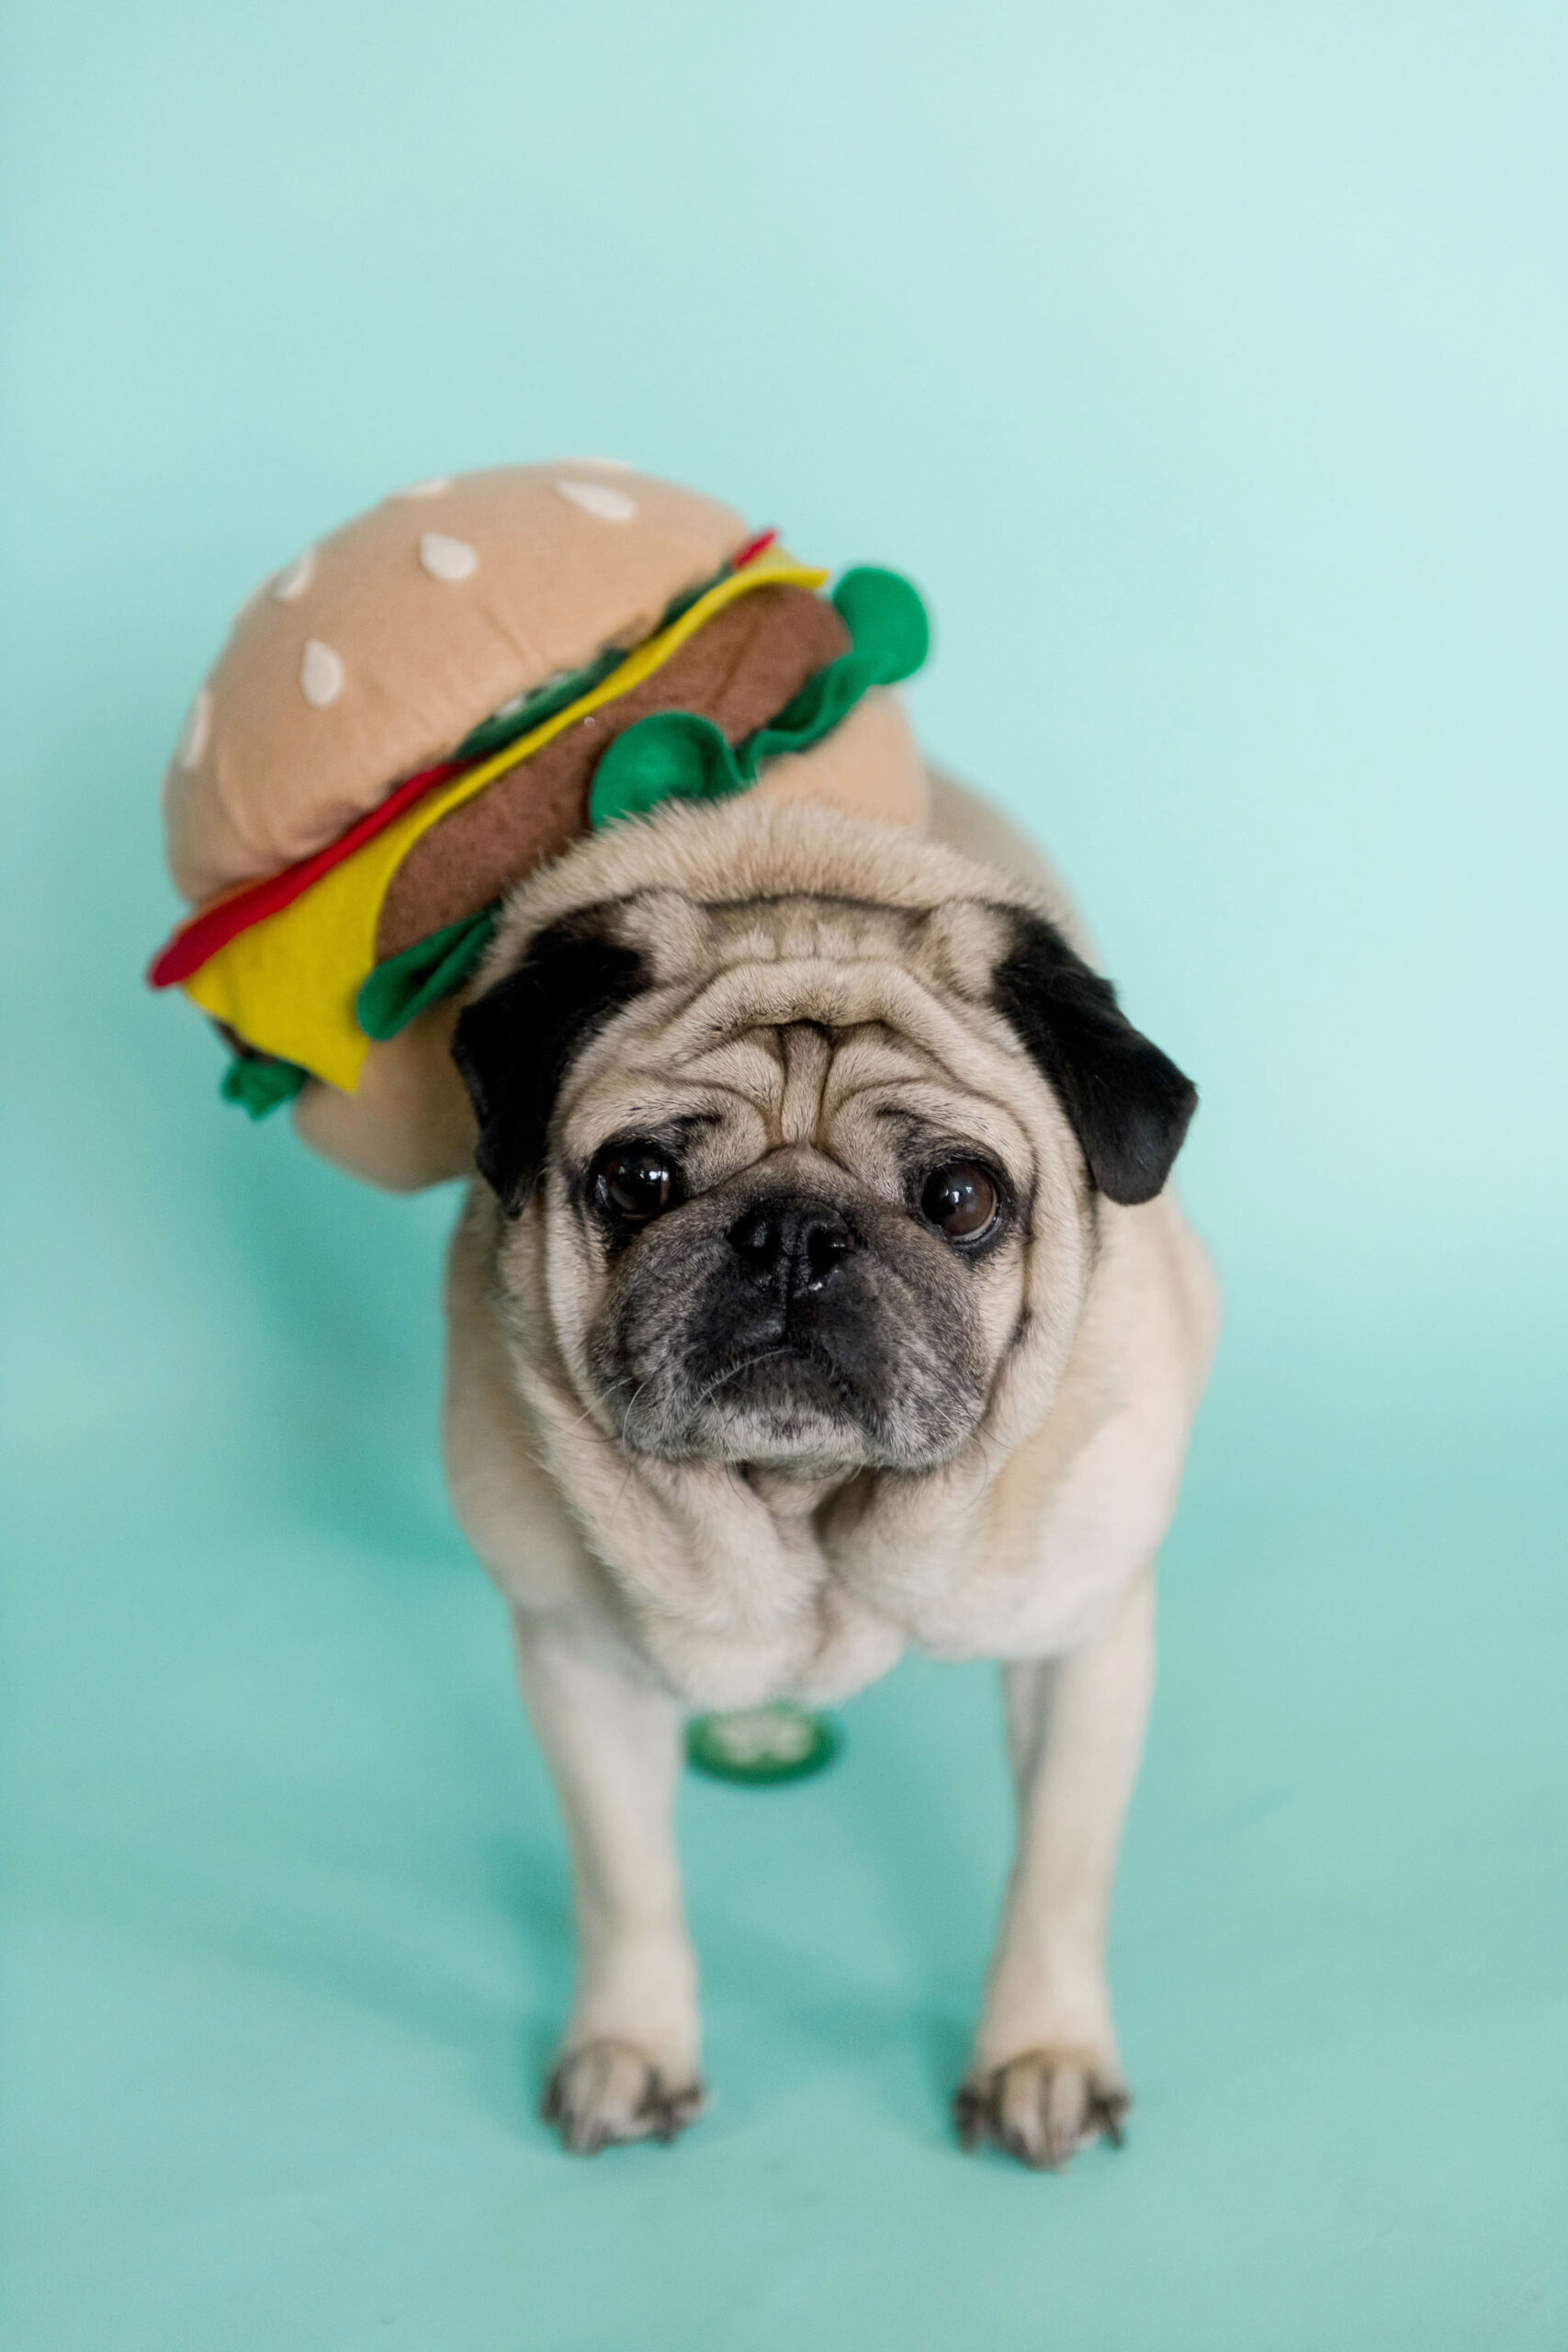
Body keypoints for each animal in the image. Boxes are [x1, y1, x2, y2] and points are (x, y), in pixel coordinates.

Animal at [444, 775, 1222, 2164]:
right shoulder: (579, 1665)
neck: (801, 1506)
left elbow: (1058, 1869)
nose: (794, 1235)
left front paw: (1039, 2052)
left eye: (961, 1197)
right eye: (639, 1179)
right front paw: (633, 2042)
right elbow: (623, 1880)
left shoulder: (1083, 1644)